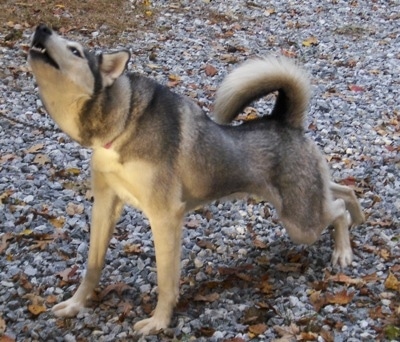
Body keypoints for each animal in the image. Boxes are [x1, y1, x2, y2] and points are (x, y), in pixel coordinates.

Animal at [28, 24, 366, 336]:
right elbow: (92, 266)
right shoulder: (105, 206)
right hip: (303, 204)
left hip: (300, 221)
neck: (122, 125)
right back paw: (358, 217)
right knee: (341, 189)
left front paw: (159, 322)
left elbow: (166, 281)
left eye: (74, 50)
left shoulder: (165, 217)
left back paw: (343, 250)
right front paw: (76, 304)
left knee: (336, 209)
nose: (41, 28)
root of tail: (284, 121)